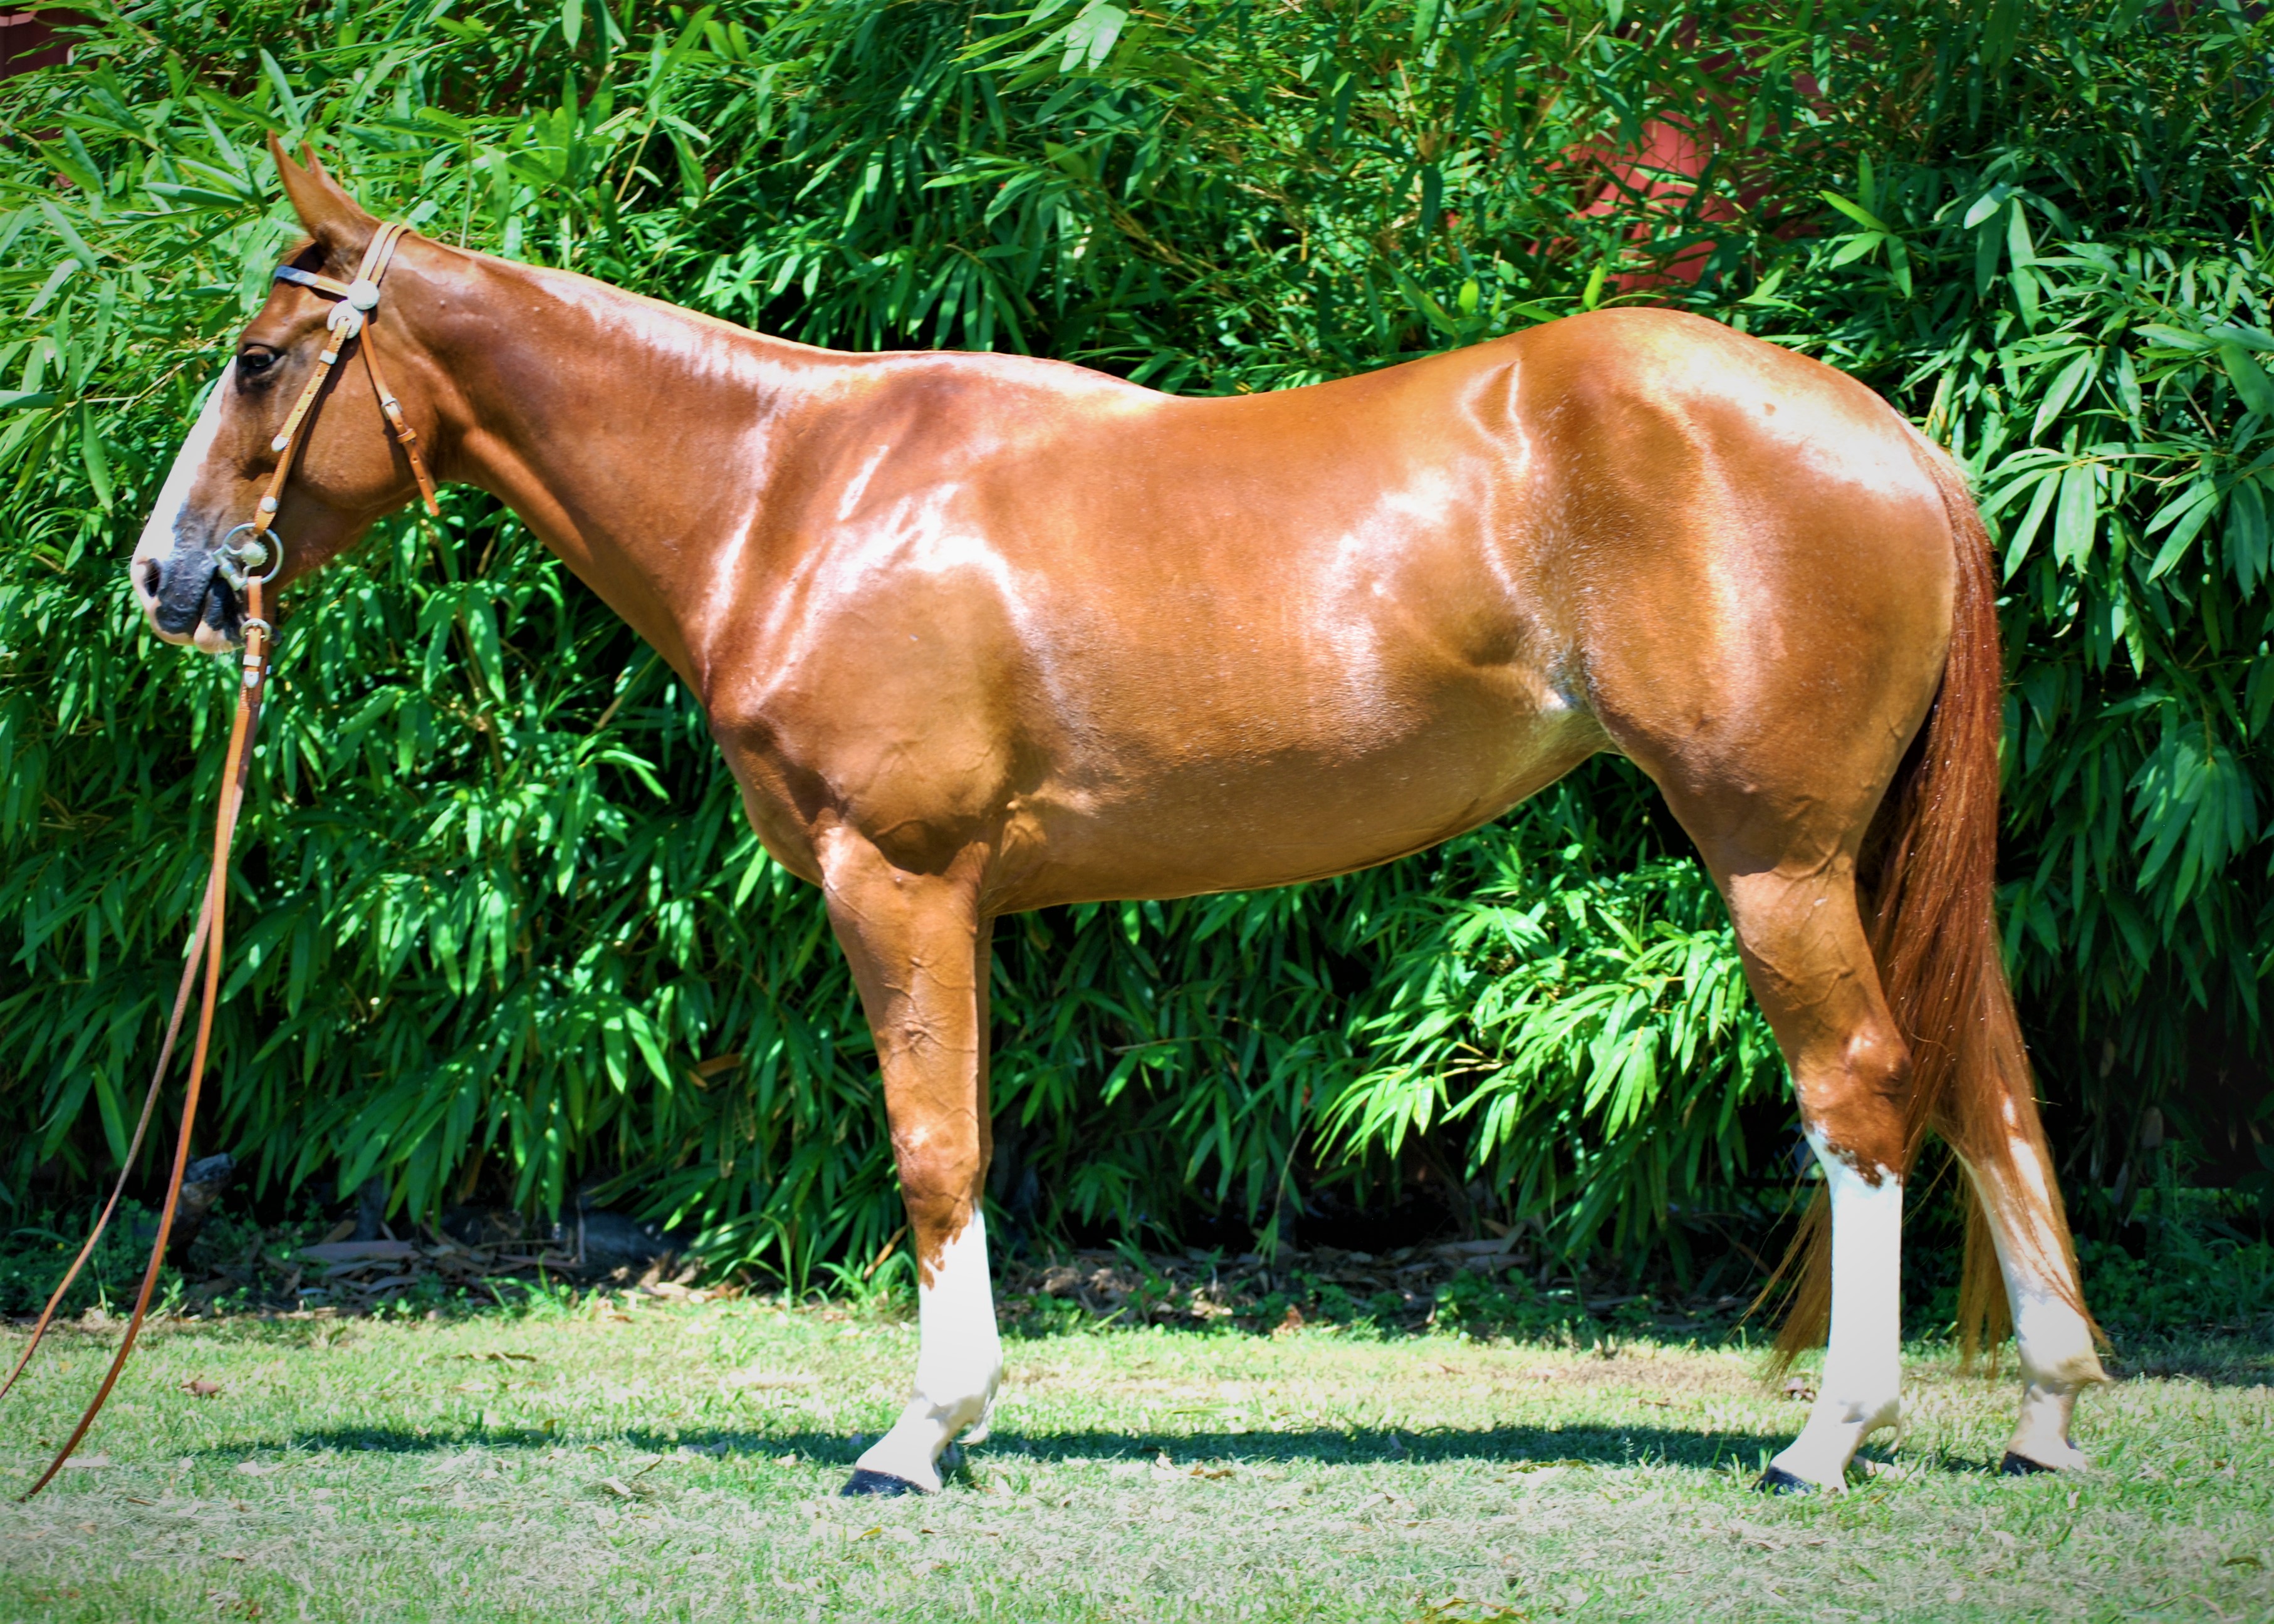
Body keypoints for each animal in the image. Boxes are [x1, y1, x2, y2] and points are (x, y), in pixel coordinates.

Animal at [130, 139, 2104, 1497]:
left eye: (256, 358)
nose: (164, 577)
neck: (790, 490)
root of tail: (1888, 438)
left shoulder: (898, 881)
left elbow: (935, 1149)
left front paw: (917, 1436)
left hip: (1776, 857)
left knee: (1862, 1091)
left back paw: (1824, 1439)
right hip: (1870, 860)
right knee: (1987, 1078)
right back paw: (2044, 1416)